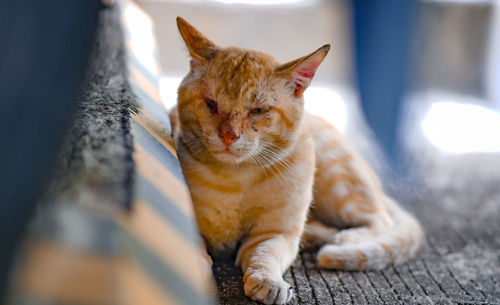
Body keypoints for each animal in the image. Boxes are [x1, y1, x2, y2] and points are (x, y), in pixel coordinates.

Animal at [171, 16, 422, 304]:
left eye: (259, 110)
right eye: (211, 104)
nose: (228, 135)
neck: (233, 178)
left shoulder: (273, 234)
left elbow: (265, 255)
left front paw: (267, 282)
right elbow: (196, 251)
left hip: (339, 185)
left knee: (379, 220)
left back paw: (342, 240)